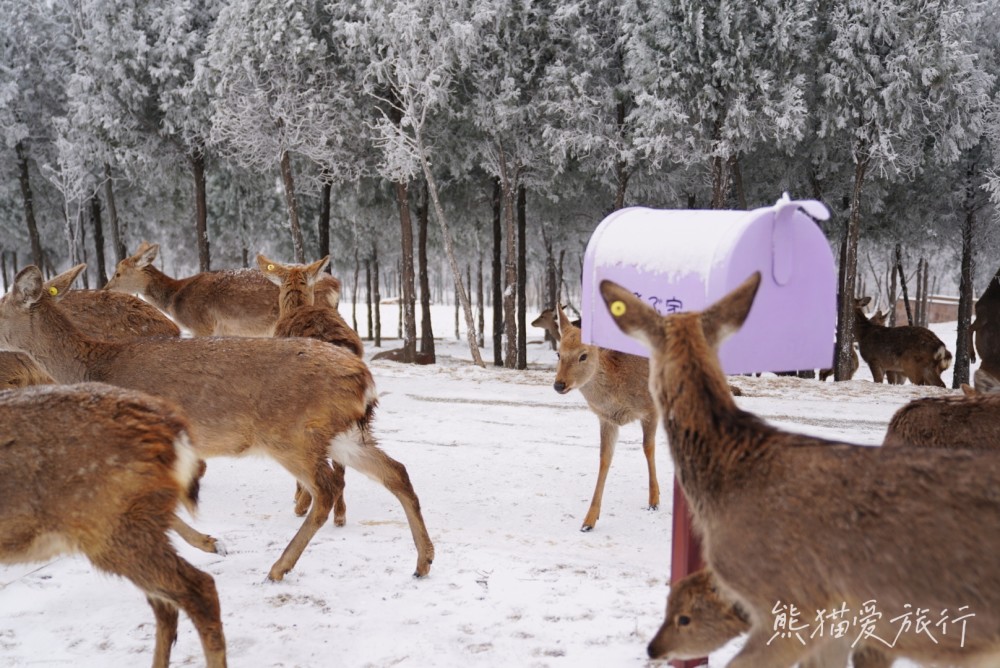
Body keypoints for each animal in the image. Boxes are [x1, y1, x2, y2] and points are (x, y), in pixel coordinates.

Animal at [551, 305, 659, 531]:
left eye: (583, 355)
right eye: (558, 353)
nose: (559, 384)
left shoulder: (651, 409)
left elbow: (648, 447)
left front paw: (654, 501)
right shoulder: (606, 419)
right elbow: (604, 458)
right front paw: (589, 520)